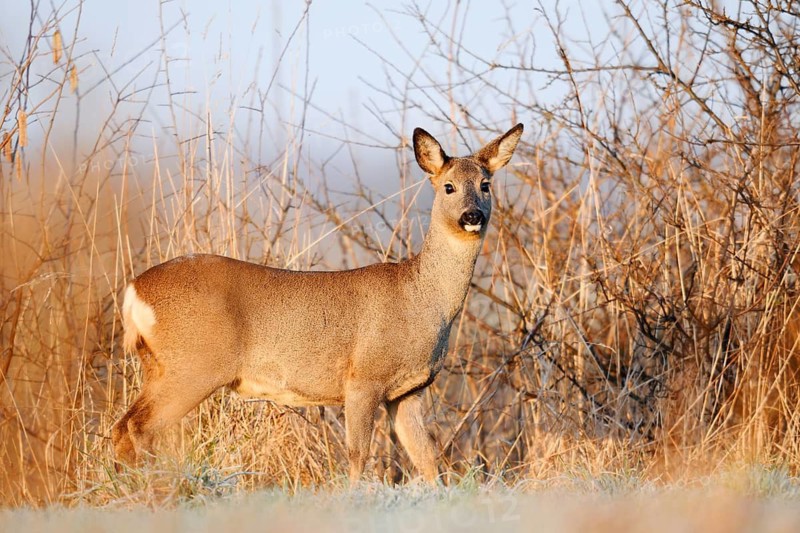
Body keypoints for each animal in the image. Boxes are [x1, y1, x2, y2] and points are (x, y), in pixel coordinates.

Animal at [112, 123, 524, 485]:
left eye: (485, 185)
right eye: (448, 187)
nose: (472, 216)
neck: (422, 298)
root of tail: (134, 291)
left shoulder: (407, 391)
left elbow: (426, 458)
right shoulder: (363, 377)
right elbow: (358, 454)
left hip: (160, 365)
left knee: (123, 427)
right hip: (192, 365)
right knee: (136, 427)